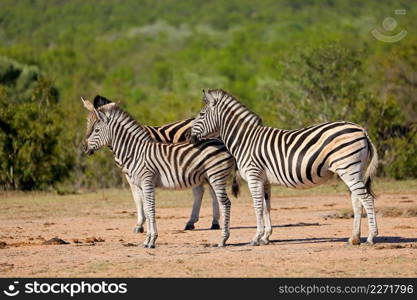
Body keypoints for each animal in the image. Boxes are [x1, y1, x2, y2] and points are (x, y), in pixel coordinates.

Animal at [81, 96, 237, 248]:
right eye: (88, 123)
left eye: (96, 130)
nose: (84, 148)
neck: (136, 152)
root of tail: (221, 142)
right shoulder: (139, 184)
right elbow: (145, 207)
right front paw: (146, 240)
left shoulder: (147, 181)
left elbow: (150, 209)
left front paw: (152, 240)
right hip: (209, 176)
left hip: (216, 175)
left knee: (225, 203)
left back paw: (222, 239)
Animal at [190, 88, 378, 246]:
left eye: (201, 114)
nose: (188, 137)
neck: (245, 140)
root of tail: (361, 130)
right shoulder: (264, 181)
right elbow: (266, 207)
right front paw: (265, 237)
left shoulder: (253, 176)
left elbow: (257, 206)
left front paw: (256, 238)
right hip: (353, 170)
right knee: (357, 201)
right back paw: (354, 238)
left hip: (348, 168)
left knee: (367, 199)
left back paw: (371, 237)